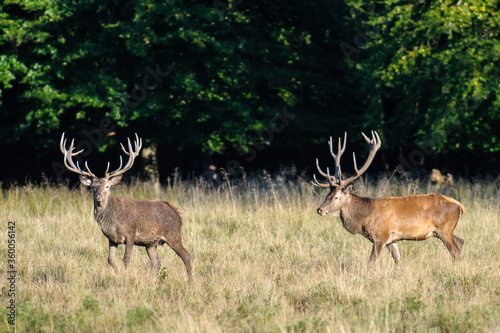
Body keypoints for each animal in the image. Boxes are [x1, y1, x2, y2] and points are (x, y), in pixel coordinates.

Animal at [59, 132, 191, 278]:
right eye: (93, 186)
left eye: (107, 186)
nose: (98, 196)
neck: (112, 220)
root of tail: (178, 214)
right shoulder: (111, 238)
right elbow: (110, 259)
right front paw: (118, 274)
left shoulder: (130, 233)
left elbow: (126, 259)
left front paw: (127, 276)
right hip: (151, 243)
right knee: (156, 263)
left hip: (173, 234)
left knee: (186, 256)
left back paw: (190, 281)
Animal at [312, 132, 464, 264]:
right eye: (327, 195)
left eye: (336, 197)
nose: (320, 209)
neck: (365, 217)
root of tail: (459, 206)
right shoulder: (391, 240)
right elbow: (398, 261)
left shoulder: (380, 236)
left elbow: (371, 262)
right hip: (444, 231)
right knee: (461, 242)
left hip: (444, 229)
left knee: (455, 250)